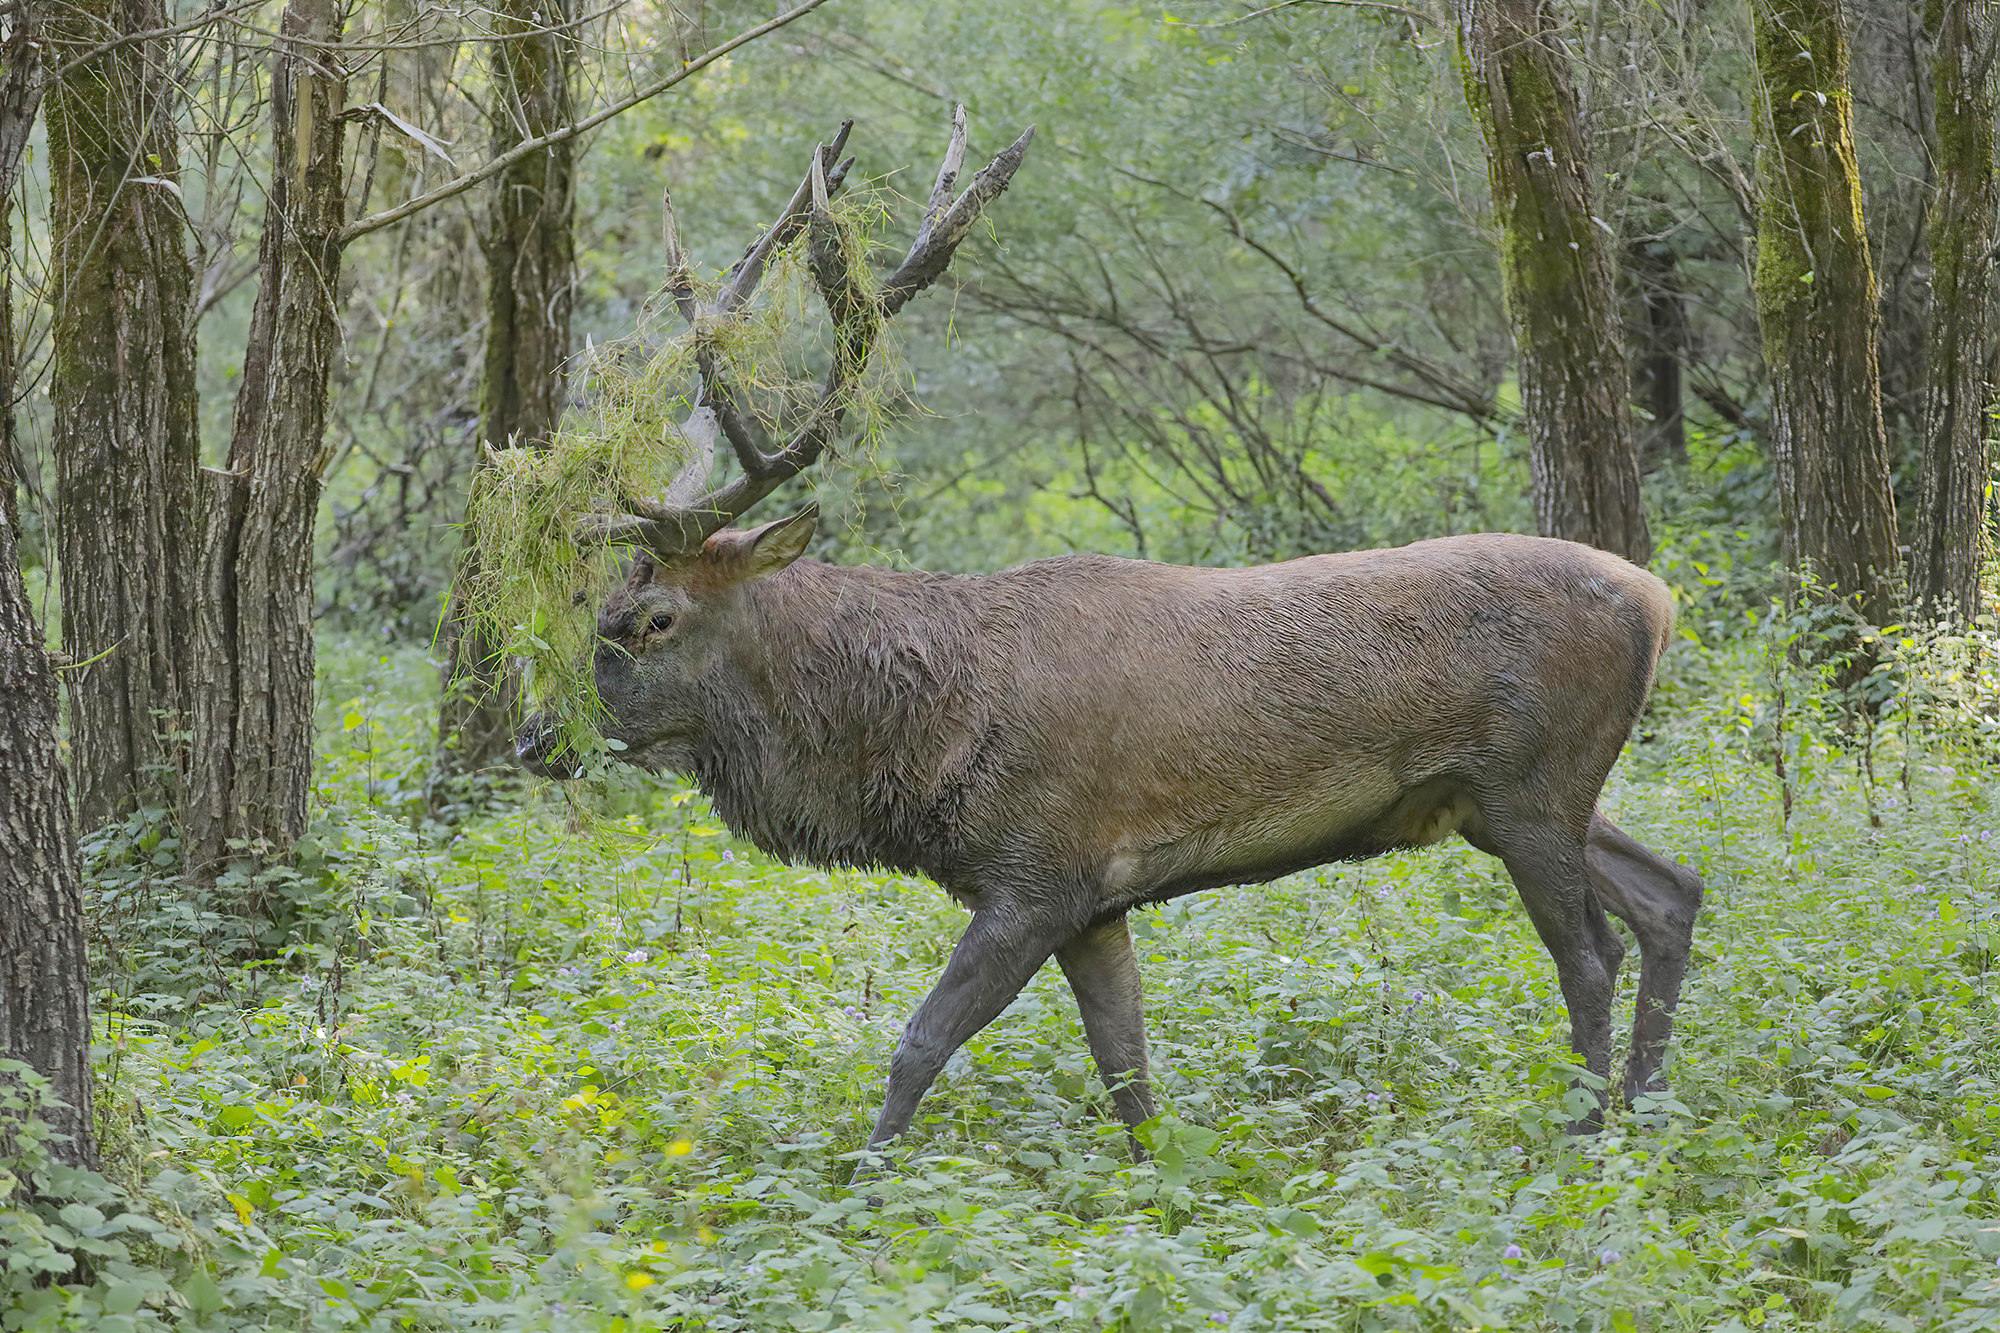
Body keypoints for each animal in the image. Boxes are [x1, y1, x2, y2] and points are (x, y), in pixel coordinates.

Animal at [515, 112, 1705, 1172]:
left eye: (651, 618)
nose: (534, 738)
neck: (921, 743)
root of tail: (1658, 600)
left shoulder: (1038, 870)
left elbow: (917, 1042)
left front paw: (861, 1193)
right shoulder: (1095, 902)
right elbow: (1127, 1077)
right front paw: (1166, 1197)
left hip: (1532, 782)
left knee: (1589, 953)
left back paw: (1583, 1140)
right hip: (1516, 798)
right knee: (1672, 891)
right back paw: (1647, 1113)